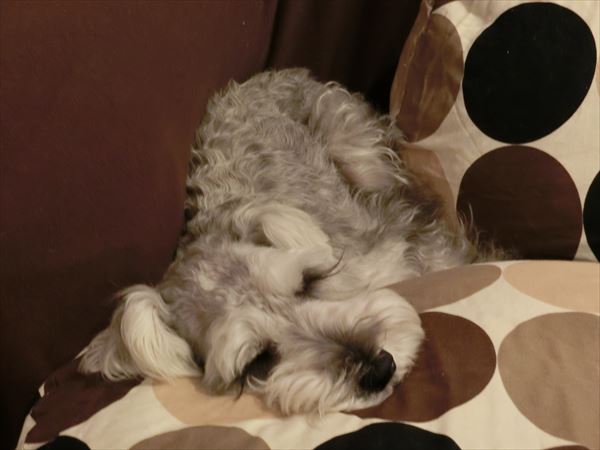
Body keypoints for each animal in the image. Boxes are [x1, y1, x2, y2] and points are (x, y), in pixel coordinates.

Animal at [80, 68, 482, 415]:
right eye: (257, 361)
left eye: (310, 281)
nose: (380, 368)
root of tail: (259, 77)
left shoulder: (397, 246)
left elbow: (443, 259)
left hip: (356, 146)